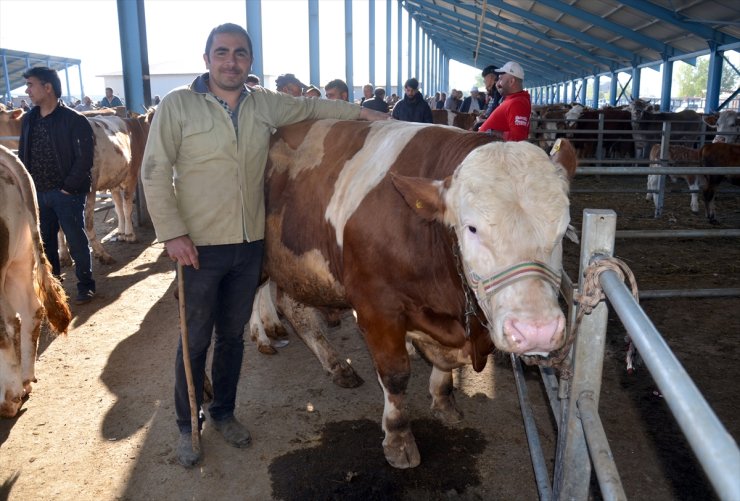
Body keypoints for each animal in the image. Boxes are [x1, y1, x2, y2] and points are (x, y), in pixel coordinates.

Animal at [253, 119, 572, 466]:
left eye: (564, 229)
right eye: (472, 227)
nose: (537, 330)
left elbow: (446, 367)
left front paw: (444, 401)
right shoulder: (378, 308)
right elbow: (395, 374)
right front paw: (398, 437)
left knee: (293, 307)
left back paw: (336, 365)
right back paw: (262, 337)